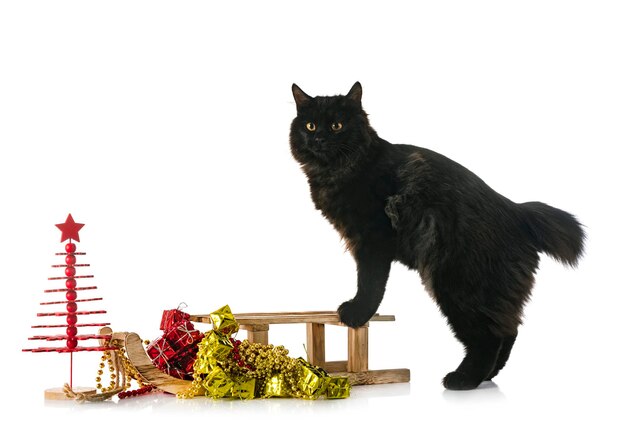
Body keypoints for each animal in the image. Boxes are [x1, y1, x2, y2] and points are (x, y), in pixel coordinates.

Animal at [290, 81, 584, 390]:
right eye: (310, 125)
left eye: (337, 125)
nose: (319, 138)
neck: (338, 171)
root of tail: (517, 212)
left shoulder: (373, 238)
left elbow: (370, 282)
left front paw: (357, 313)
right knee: (508, 330)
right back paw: (487, 377)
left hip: (458, 281)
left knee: (489, 337)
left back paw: (463, 380)